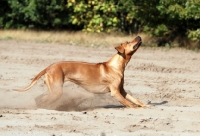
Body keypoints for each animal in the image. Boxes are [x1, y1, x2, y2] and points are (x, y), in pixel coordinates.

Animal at [13, 36, 148, 108]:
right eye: (128, 42)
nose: (139, 36)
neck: (116, 65)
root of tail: (49, 67)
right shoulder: (115, 92)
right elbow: (129, 103)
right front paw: (136, 108)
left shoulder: (122, 90)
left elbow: (134, 99)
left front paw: (145, 105)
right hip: (57, 91)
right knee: (42, 101)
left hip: (53, 89)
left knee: (39, 98)